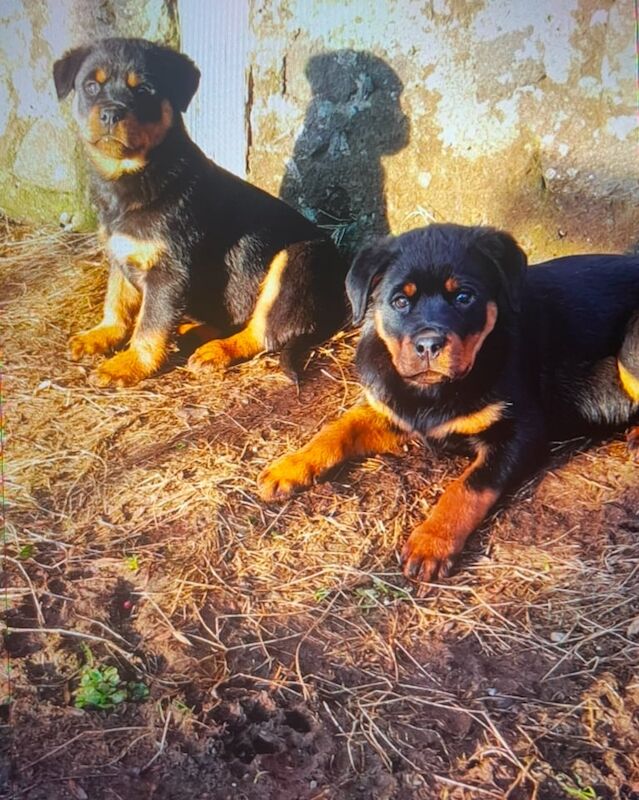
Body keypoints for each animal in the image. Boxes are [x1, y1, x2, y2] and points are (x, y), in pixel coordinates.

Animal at [52, 38, 348, 388]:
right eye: (91, 86)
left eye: (145, 91)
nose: (112, 112)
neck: (133, 176)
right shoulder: (119, 254)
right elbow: (117, 301)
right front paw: (101, 335)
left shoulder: (169, 271)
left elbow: (150, 323)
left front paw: (128, 364)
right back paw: (191, 331)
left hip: (295, 263)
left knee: (266, 330)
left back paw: (218, 350)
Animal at [258, 225, 639, 588]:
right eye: (400, 301)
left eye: (464, 297)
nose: (429, 344)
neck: (433, 392)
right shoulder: (395, 411)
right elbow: (338, 428)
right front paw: (290, 466)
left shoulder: (521, 432)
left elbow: (468, 487)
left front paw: (431, 542)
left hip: (630, 351)